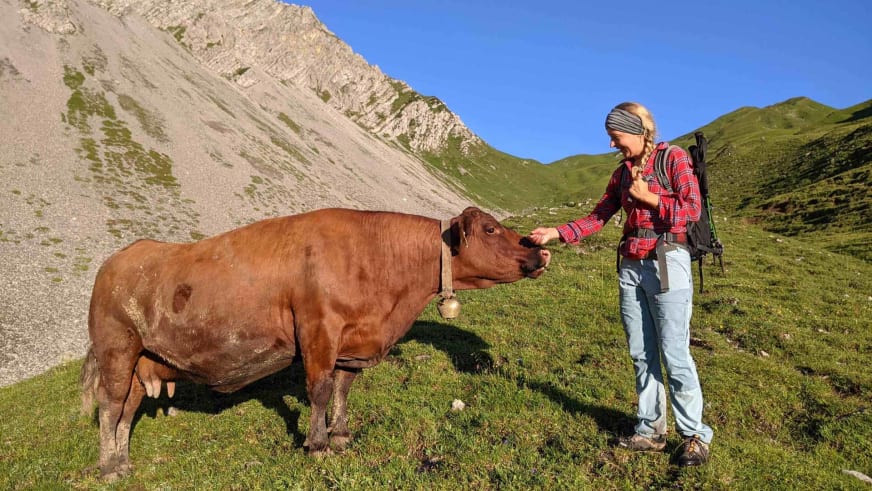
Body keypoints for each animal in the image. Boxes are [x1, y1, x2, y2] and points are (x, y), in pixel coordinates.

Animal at [80, 206, 550, 480]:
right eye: (490, 229)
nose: (540, 251)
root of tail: (117, 259)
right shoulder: (318, 331)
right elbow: (320, 390)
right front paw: (318, 445)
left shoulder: (350, 343)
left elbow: (342, 389)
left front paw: (340, 436)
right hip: (116, 350)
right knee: (109, 408)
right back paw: (108, 468)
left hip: (140, 363)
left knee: (126, 412)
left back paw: (124, 462)